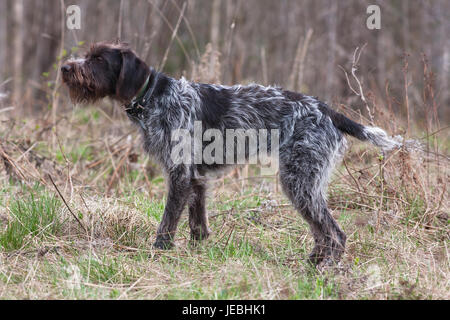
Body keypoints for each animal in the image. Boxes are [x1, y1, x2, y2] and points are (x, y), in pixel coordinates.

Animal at [60, 42, 400, 266]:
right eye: (88, 55)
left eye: (98, 59)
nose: (64, 67)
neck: (154, 96)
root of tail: (327, 110)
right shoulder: (195, 178)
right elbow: (197, 223)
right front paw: (197, 252)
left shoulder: (179, 175)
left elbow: (168, 220)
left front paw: (159, 251)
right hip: (305, 182)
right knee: (322, 231)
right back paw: (314, 261)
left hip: (299, 180)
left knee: (334, 232)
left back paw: (325, 268)